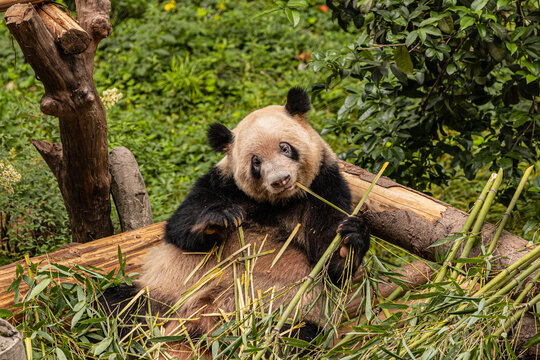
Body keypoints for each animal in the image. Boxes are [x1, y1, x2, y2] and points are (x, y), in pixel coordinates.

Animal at [103, 88, 370, 356]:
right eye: (256, 161)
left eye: (285, 147)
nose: (280, 180)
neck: (277, 203)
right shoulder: (222, 185)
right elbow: (180, 227)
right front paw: (218, 222)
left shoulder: (323, 186)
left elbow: (330, 263)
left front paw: (349, 241)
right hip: (163, 293)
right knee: (119, 307)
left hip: (285, 315)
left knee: (292, 338)